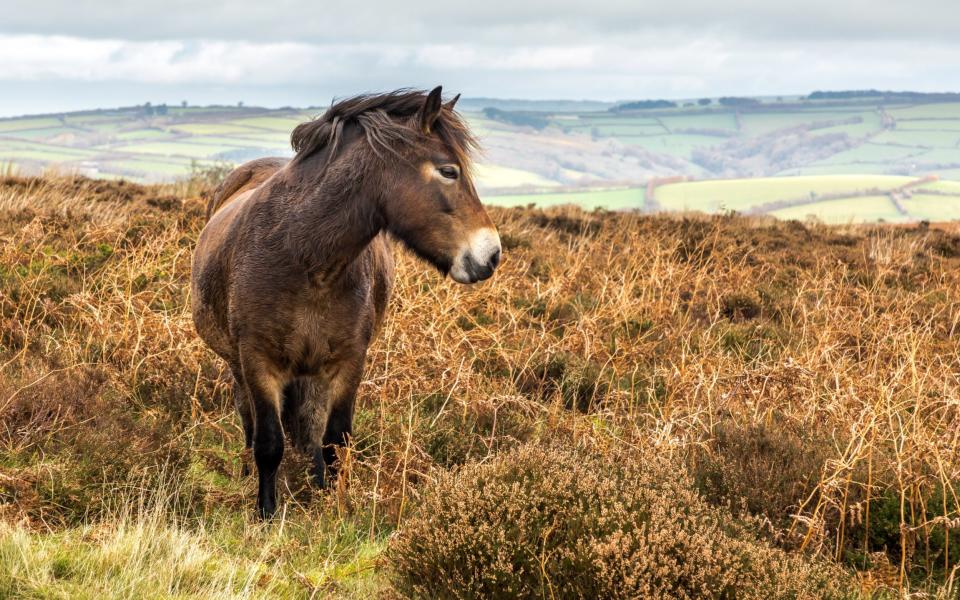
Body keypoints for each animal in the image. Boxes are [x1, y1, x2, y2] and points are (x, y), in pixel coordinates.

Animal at [189, 86, 502, 516]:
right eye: (448, 171)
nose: (492, 254)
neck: (304, 256)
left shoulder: (348, 362)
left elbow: (334, 442)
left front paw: (331, 507)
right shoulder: (257, 361)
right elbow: (269, 442)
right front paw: (266, 512)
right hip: (238, 366)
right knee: (250, 421)